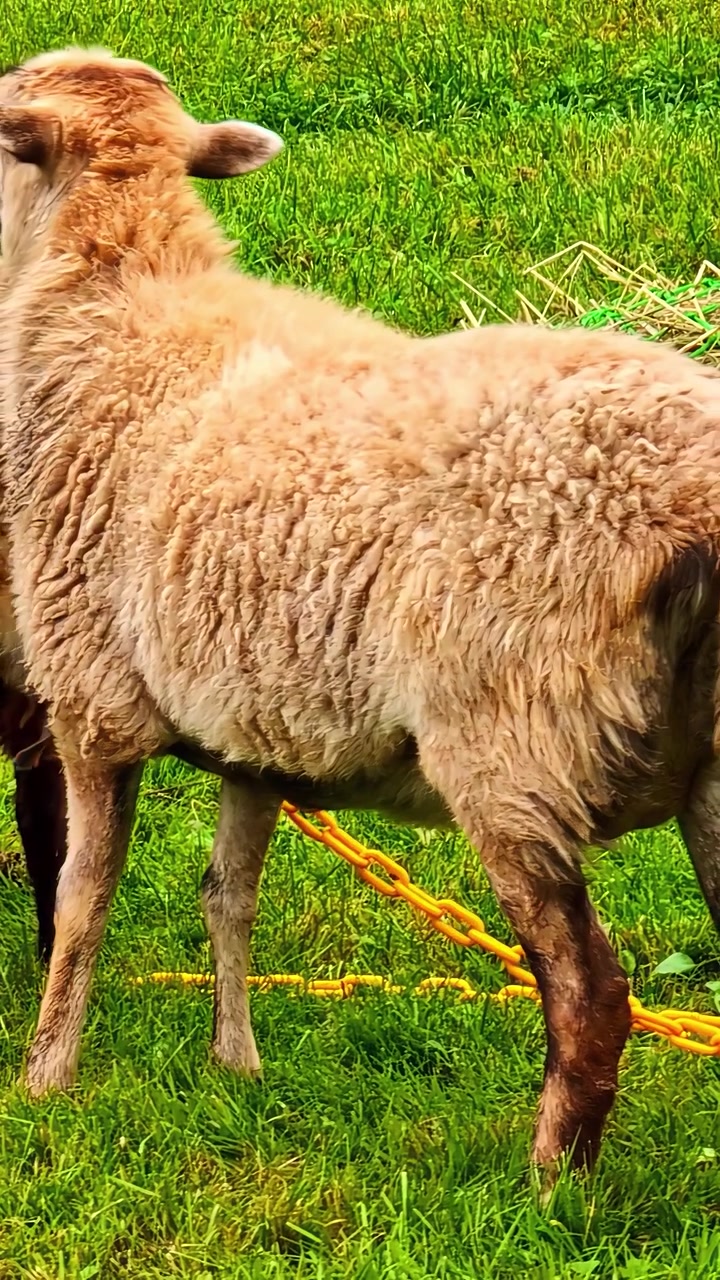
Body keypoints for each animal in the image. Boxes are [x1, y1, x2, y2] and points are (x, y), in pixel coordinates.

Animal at [1, 48, 720, 1176]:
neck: (120, 299)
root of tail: (691, 496)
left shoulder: (91, 700)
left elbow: (83, 897)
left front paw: (47, 1078)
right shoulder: (249, 728)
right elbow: (228, 890)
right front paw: (237, 1067)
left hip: (511, 747)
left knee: (590, 994)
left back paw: (548, 1184)